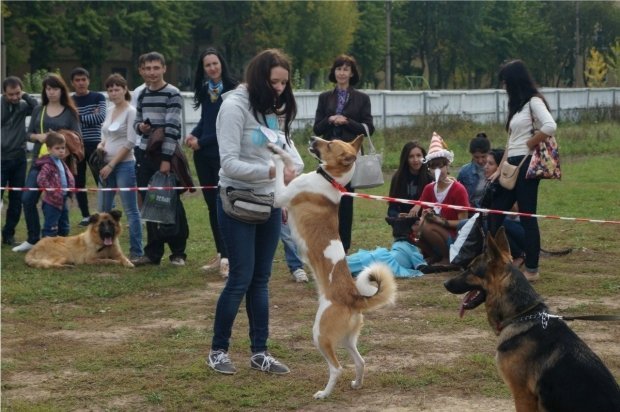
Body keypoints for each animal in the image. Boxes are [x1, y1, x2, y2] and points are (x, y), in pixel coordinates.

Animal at [270, 136, 398, 400]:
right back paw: (357, 384)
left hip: (320, 335)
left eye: (329, 145)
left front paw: (276, 152)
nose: (312, 138)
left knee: (337, 368)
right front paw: (281, 149)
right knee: (360, 362)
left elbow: (280, 167)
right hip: (348, 339)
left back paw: (324, 393)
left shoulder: (281, 195)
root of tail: (353, 298)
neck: (330, 180)